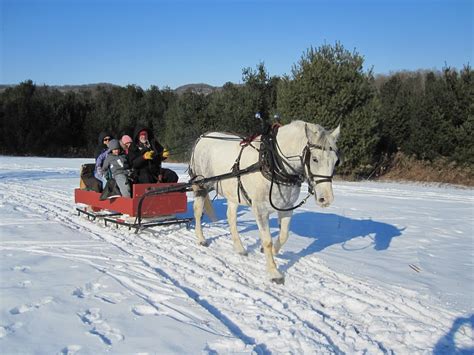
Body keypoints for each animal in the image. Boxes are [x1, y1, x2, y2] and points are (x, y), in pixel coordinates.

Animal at [189, 119, 340, 284]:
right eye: (314, 159)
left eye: (336, 162)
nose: (326, 199)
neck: (274, 164)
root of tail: (202, 137)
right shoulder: (260, 209)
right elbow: (267, 240)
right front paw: (274, 273)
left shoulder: (287, 207)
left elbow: (284, 235)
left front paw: (272, 251)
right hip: (201, 185)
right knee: (198, 212)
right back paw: (201, 239)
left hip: (233, 194)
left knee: (231, 218)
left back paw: (239, 248)